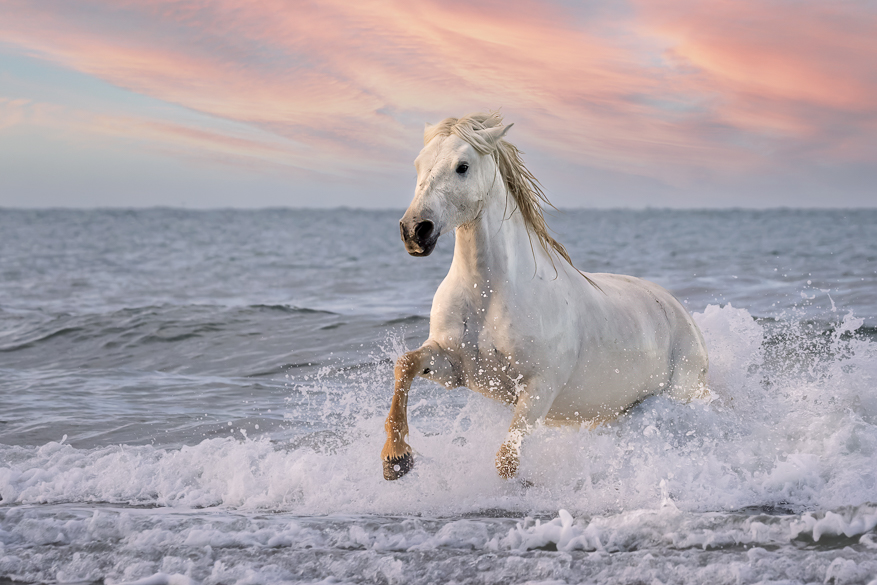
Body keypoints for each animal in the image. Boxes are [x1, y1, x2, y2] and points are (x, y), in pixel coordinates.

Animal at [381, 112, 709, 481]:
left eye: (462, 167)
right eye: (418, 164)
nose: (414, 231)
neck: (490, 293)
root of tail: (685, 317)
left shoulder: (539, 389)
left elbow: (506, 462)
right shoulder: (454, 368)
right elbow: (405, 364)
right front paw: (396, 458)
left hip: (677, 394)